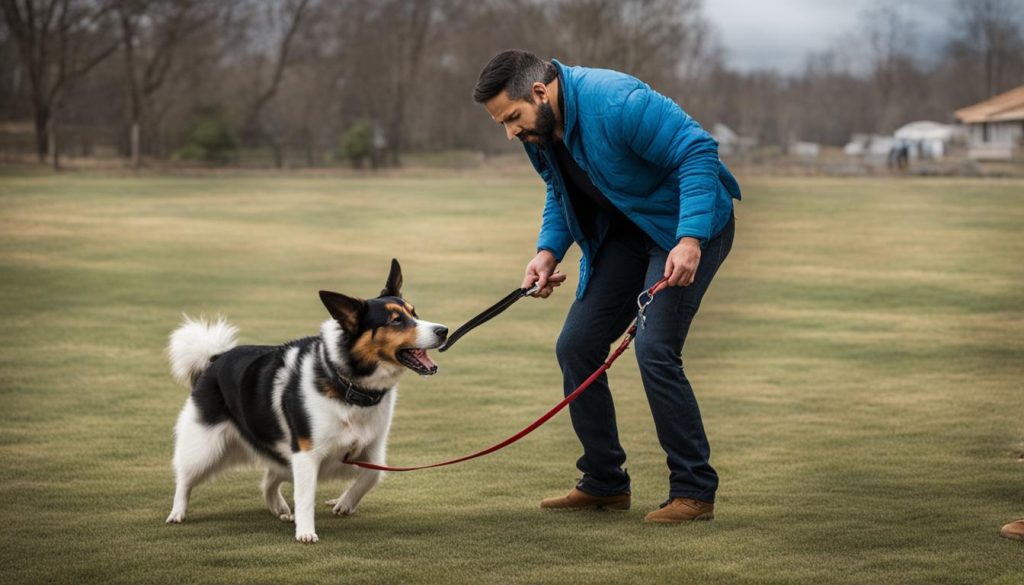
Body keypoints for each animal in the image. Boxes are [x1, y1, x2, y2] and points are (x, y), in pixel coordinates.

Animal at [163, 261, 444, 545]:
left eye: (414, 312)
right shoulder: (307, 454)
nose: (443, 330)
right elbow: (306, 497)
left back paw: (279, 508)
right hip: (205, 447)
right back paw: (177, 512)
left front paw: (344, 504)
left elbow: (372, 476)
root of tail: (215, 358)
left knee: (269, 479)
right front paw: (306, 532)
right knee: (184, 478)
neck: (348, 385)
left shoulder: (369, 451)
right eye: (396, 321)